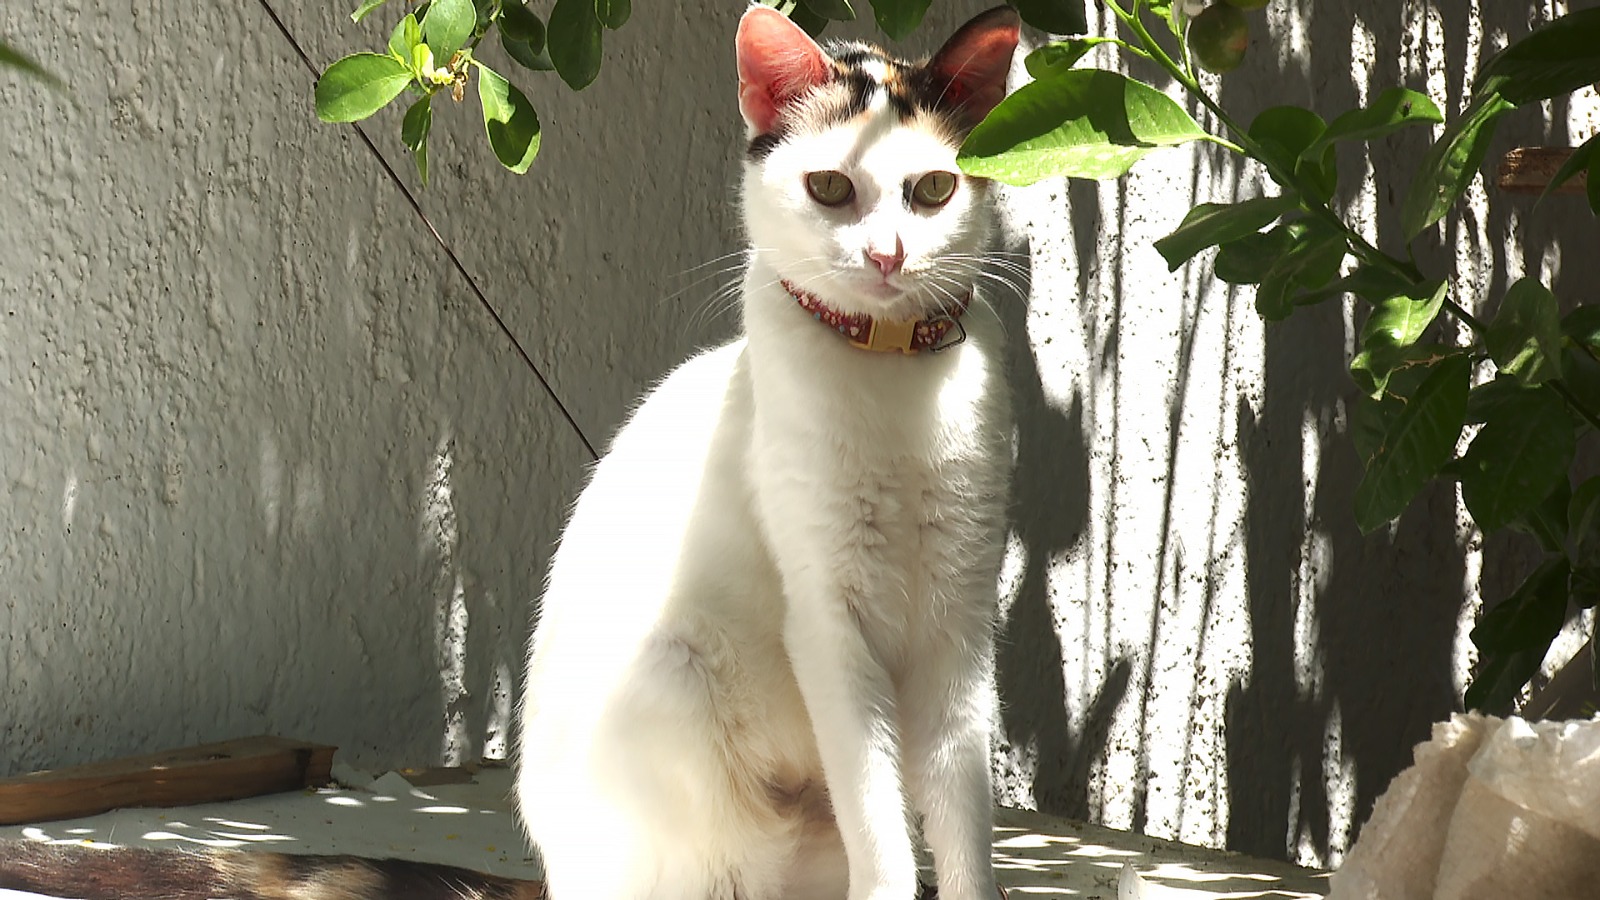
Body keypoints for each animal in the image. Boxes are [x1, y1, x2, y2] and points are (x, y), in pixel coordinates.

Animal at [518, 8, 1017, 896]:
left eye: (933, 189)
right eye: (830, 187)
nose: (887, 256)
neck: (890, 379)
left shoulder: (961, 618)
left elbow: (962, 816)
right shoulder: (825, 619)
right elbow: (878, 824)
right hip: (674, 679)